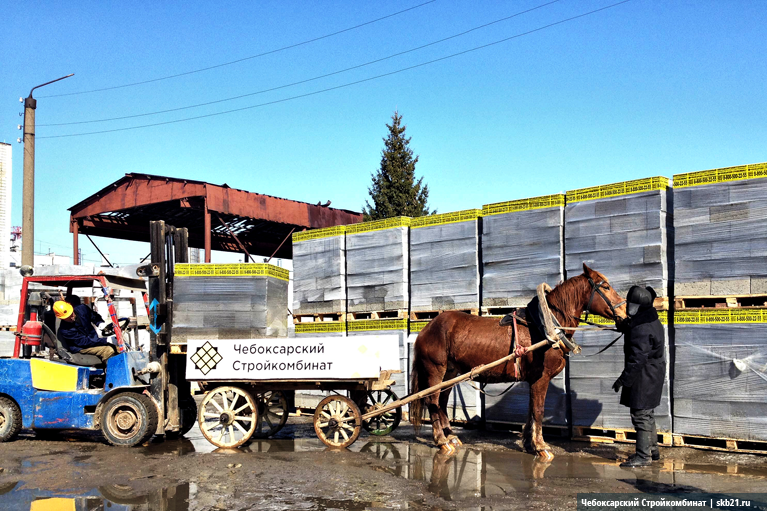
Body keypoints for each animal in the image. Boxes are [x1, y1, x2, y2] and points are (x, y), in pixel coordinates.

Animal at [412, 264, 628, 460]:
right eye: (605, 286)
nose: (625, 313)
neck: (545, 327)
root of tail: (426, 329)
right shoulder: (541, 378)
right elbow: (538, 410)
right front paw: (541, 446)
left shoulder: (533, 380)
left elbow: (531, 410)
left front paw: (529, 443)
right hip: (435, 370)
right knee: (432, 401)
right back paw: (441, 440)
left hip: (451, 373)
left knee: (441, 402)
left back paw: (451, 436)